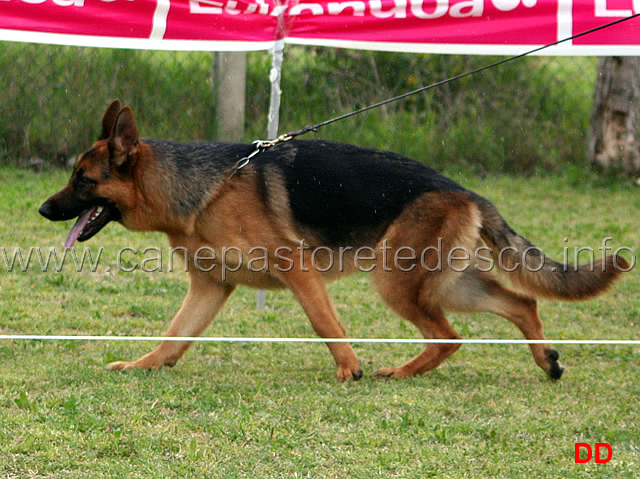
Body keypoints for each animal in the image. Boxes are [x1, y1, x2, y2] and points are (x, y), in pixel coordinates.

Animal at [37, 101, 628, 382]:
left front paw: (350, 369)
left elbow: (325, 324)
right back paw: (546, 360)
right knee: (520, 302)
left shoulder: (298, 271)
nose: (43, 209)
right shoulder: (210, 287)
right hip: (443, 282)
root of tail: (465, 191)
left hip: (397, 282)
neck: (199, 188)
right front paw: (142, 367)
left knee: (451, 336)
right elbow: (172, 338)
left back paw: (399, 371)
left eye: (82, 180)